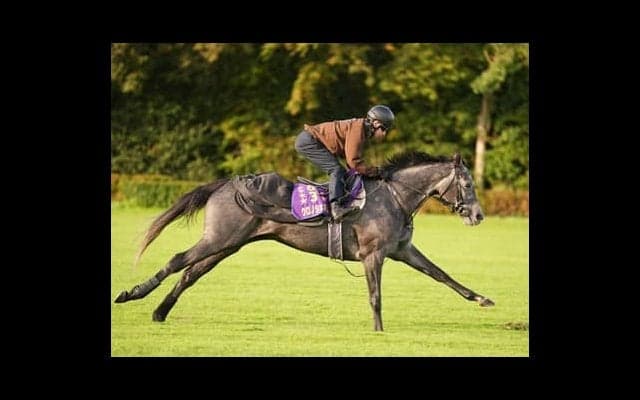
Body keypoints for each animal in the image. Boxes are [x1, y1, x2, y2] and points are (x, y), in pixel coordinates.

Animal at [114, 151, 494, 331]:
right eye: (468, 184)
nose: (478, 215)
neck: (395, 196)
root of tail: (227, 183)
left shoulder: (402, 250)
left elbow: (442, 275)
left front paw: (482, 298)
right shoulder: (373, 255)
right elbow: (375, 296)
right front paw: (379, 330)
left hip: (227, 244)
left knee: (190, 273)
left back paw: (160, 312)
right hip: (218, 237)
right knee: (177, 260)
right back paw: (131, 294)